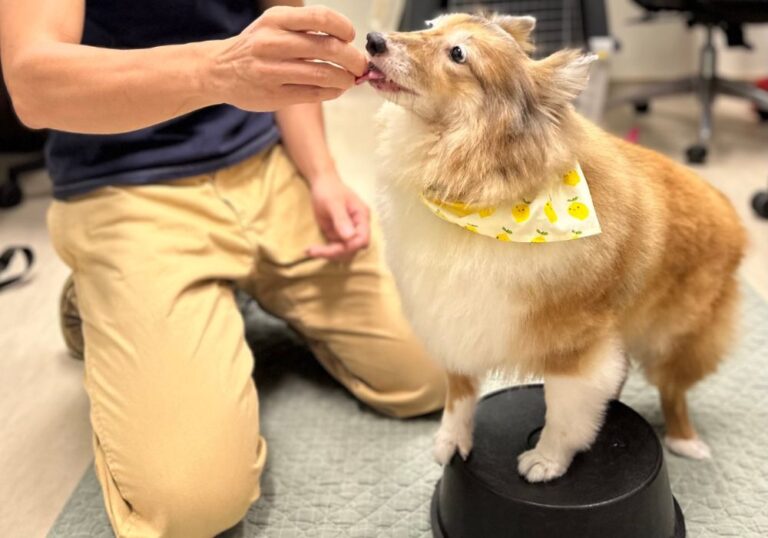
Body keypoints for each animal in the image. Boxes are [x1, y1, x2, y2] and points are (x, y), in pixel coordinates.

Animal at [358, 13, 744, 482]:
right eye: (431, 24)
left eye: (458, 54)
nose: (372, 40)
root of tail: (731, 214)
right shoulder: (454, 319)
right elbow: (460, 393)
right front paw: (451, 442)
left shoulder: (574, 349)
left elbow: (563, 414)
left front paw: (546, 461)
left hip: (676, 339)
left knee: (673, 391)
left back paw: (685, 440)